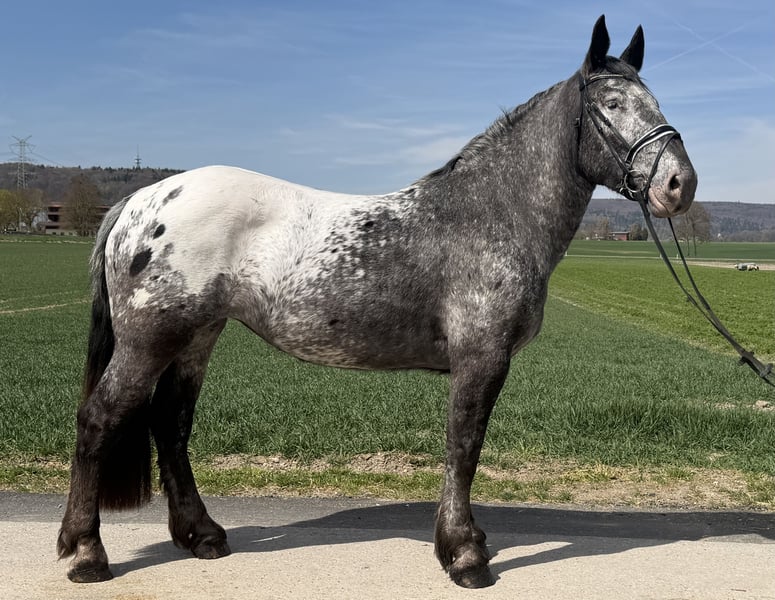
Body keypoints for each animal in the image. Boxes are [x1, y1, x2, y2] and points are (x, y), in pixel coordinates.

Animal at [58, 15, 697, 588]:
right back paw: (86, 553)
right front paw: (464, 555)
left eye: (654, 99)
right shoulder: (481, 359)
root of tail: (142, 198)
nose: (680, 184)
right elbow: (464, 447)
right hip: (150, 340)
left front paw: (466, 542)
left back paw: (203, 536)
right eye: (611, 102)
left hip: (195, 337)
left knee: (171, 424)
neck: (490, 212)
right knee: (99, 418)